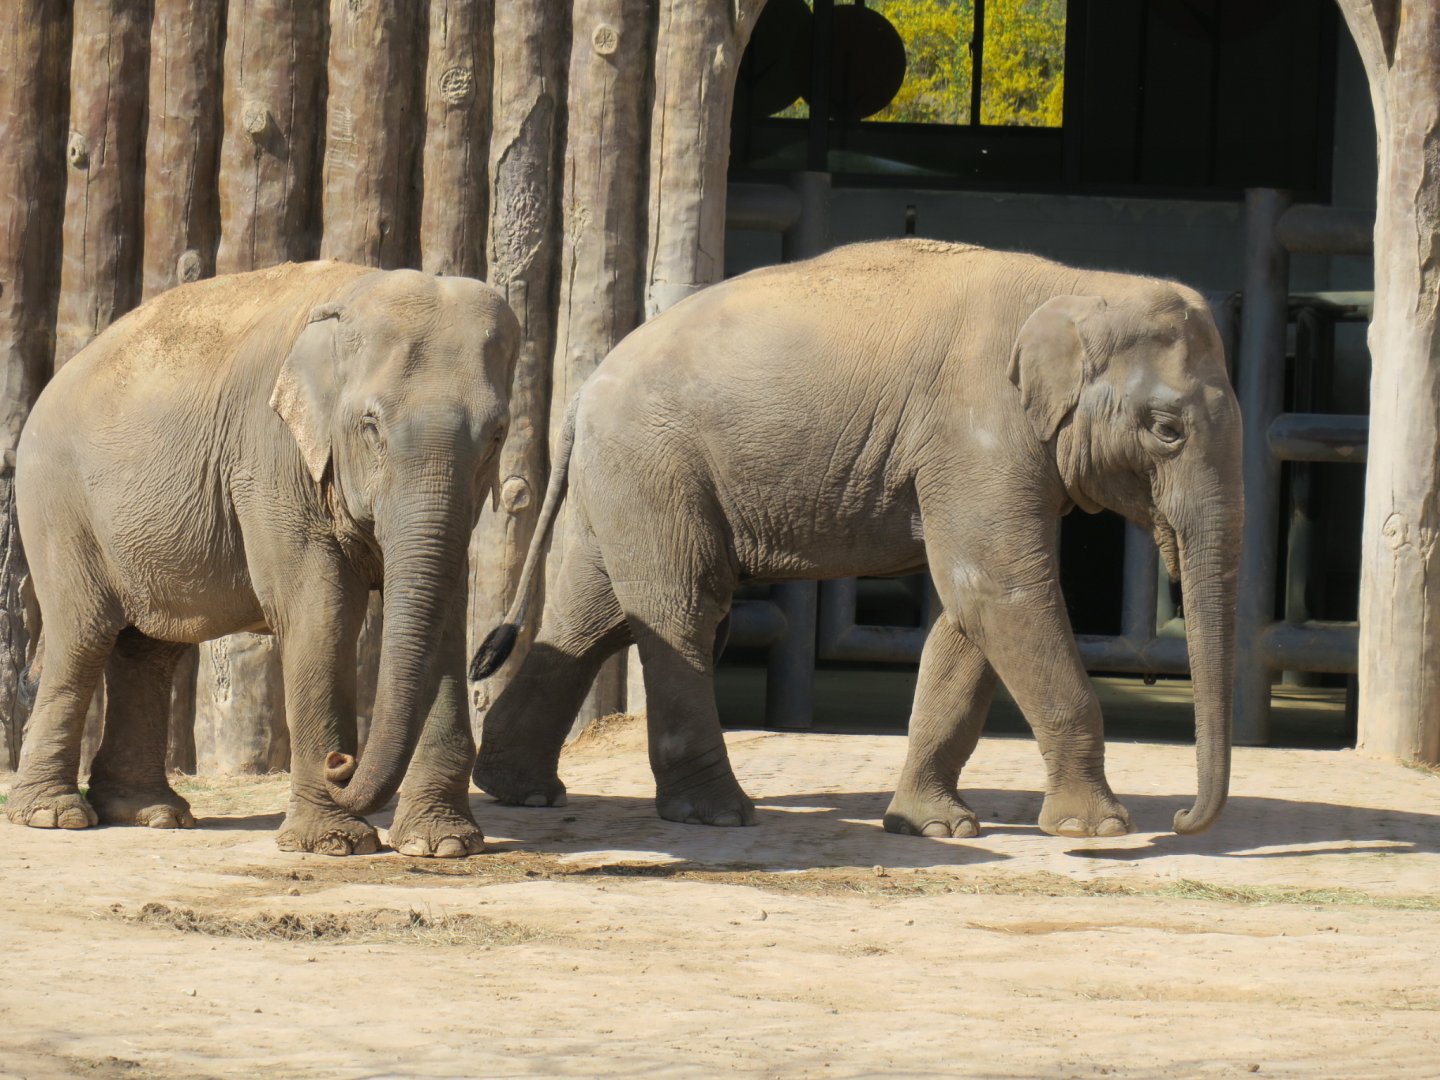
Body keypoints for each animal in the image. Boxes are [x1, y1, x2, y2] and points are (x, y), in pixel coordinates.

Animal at [7, 261, 519, 857]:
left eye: (498, 435)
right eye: (370, 426)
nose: (341, 764)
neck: (356, 291)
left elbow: (446, 615)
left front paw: (442, 845)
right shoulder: (270, 454)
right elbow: (321, 611)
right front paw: (334, 844)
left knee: (149, 648)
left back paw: (153, 814)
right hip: (56, 503)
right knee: (83, 636)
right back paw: (54, 816)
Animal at [470, 238, 1242, 839]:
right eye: (1167, 429)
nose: (1183, 819)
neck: (1081, 285)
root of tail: (583, 389)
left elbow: (970, 610)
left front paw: (933, 827)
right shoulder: (978, 424)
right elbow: (1001, 588)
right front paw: (1099, 830)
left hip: (627, 478)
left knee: (592, 615)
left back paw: (520, 790)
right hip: (653, 462)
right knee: (680, 608)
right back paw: (717, 814)